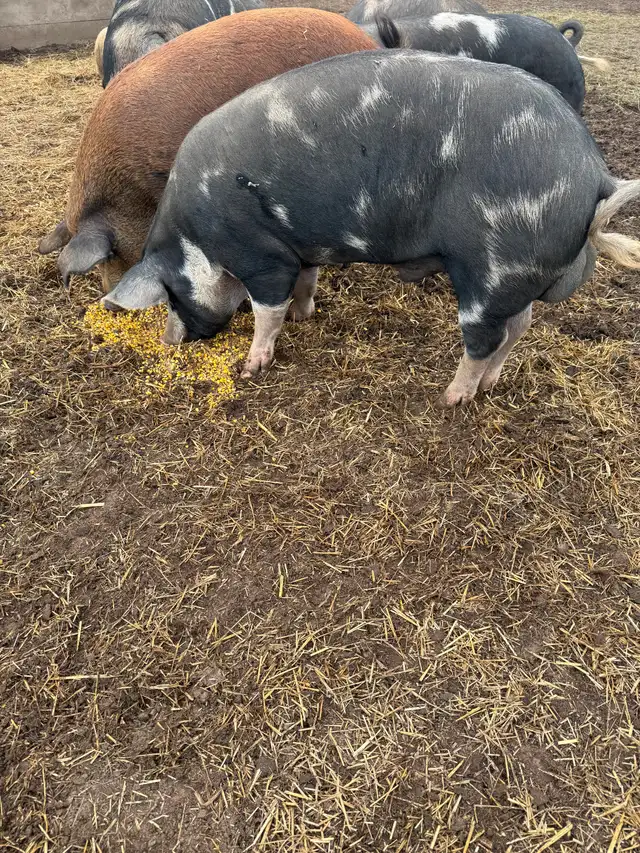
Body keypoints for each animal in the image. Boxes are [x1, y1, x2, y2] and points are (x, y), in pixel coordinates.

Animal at [100, 50, 640, 406]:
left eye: (171, 296)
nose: (170, 342)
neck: (199, 237)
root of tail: (594, 172)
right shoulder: (301, 247)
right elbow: (306, 283)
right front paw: (305, 317)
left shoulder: (262, 254)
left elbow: (266, 311)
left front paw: (252, 367)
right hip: (515, 275)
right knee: (519, 325)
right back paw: (488, 386)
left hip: (492, 266)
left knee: (485, 337)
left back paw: (452, 398)